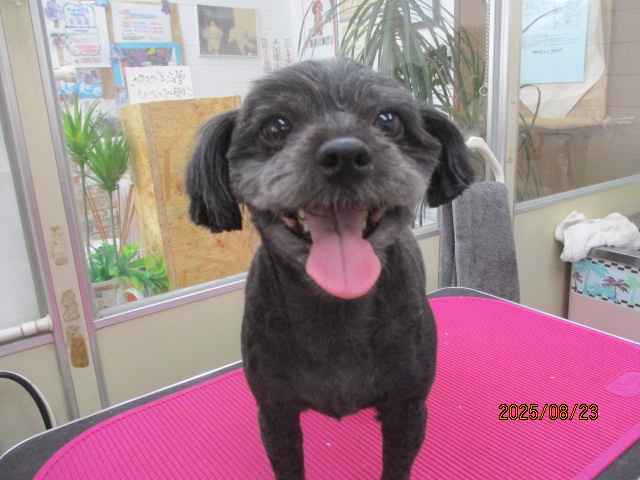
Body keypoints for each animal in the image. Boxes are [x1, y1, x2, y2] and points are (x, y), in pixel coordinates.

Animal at [187, 58, 473, 480]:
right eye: (276, 127)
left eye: (388, 121)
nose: (345, 155)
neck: (336, 308)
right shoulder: (274, 412)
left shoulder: (408, 408)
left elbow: (397, 465)